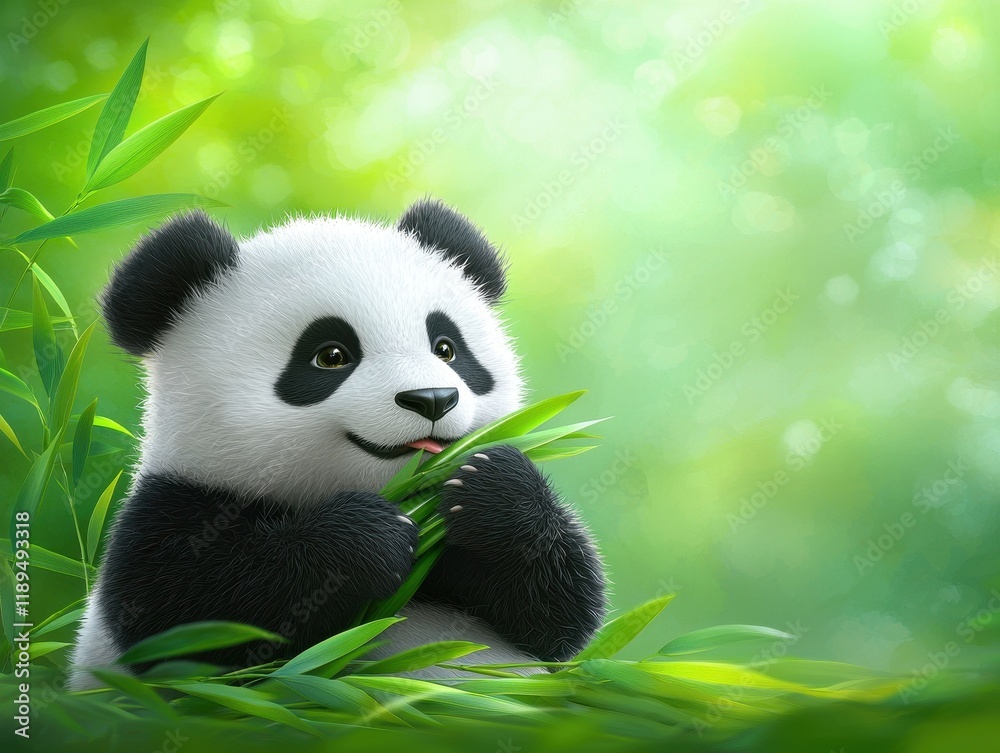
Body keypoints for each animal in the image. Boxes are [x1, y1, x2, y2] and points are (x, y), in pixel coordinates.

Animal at [69, 200, 606, 689]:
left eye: (446, 348)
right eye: (331, 355)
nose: (432, 398)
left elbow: (561, 613)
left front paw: (492, 490)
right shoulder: (175, 509)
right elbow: (191, 625)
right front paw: (363, 537)